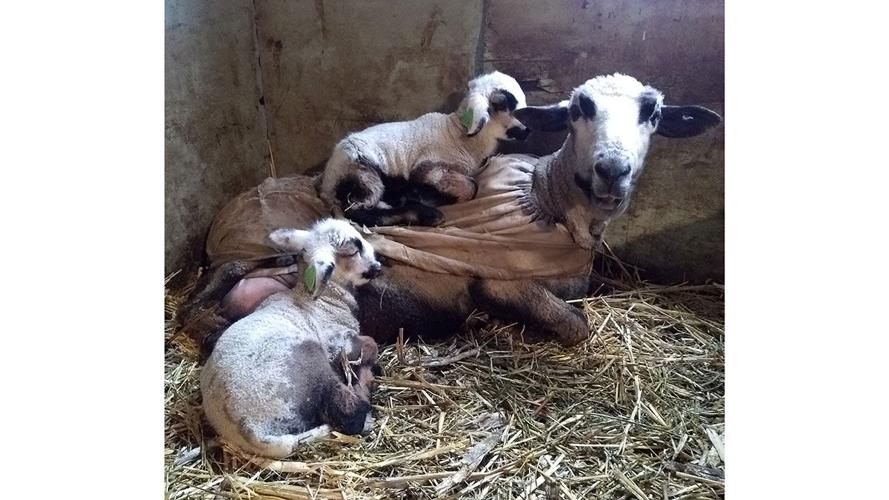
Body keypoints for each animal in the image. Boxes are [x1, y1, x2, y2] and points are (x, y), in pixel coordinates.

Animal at [200, 218, 384, 458]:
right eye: (353, 250)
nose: (378, 267)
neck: (321, 299)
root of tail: (250, 429)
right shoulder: (336, 342)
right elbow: (371, 344)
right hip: (309, 360)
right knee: (350, 415)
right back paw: (365, 396)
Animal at [317, 70, 530, 228]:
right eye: (502, 104)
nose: (526, 131)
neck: (458, 135)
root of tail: (326, 185)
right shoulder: (429, 168)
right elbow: (471, 187)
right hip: (362, 170)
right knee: (359, 210)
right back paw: (427, 214)